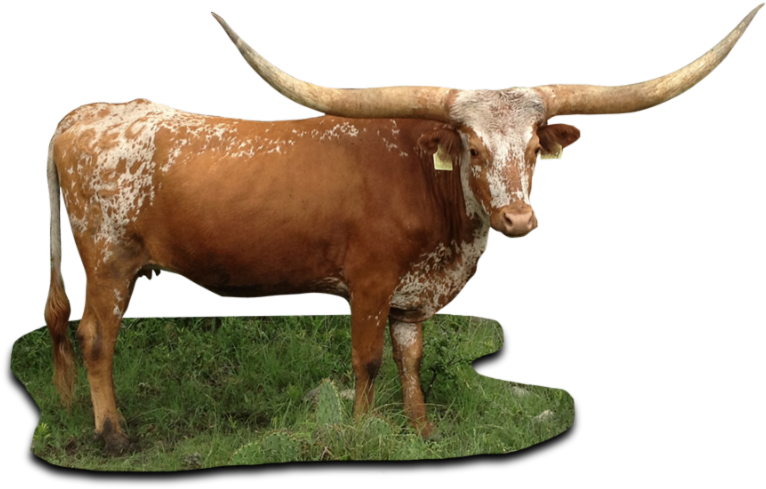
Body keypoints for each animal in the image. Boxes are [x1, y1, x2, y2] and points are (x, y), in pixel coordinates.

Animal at [44, 6, 762, 454]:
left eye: (535, 149)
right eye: (471, 147)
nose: (518, 218)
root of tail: (86, 114)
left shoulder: (412, 298)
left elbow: (408, 358)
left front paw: (421, 432)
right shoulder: (367, 282)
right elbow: (366, 359)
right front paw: (365, 434)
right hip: (108, 260)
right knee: (96, 337)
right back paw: (113, 436)